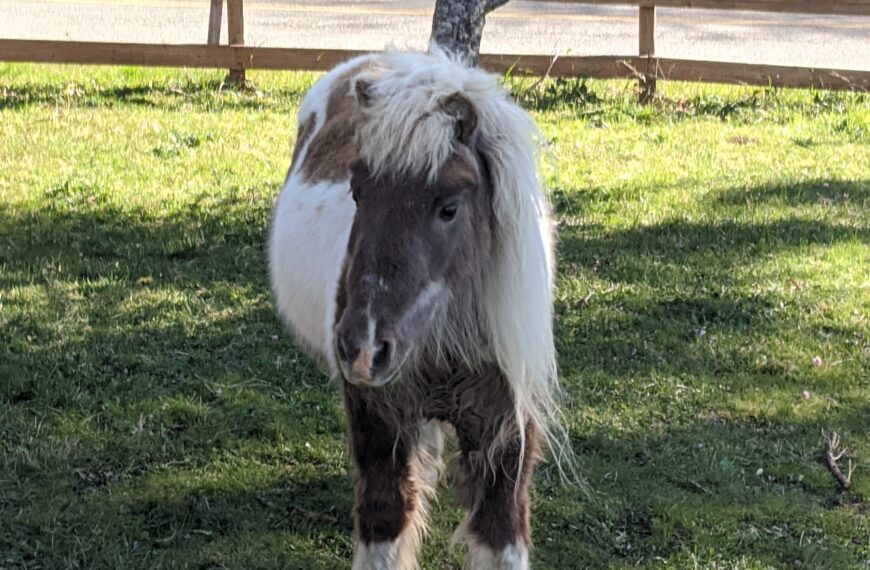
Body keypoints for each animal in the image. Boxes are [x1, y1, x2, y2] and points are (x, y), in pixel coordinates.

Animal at [268, 49, 568, 569]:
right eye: (357, 192)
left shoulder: (504, 436)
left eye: (449, 207)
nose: (363, 346)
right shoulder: (379, 422)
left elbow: (501, 531)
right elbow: (385, 524)